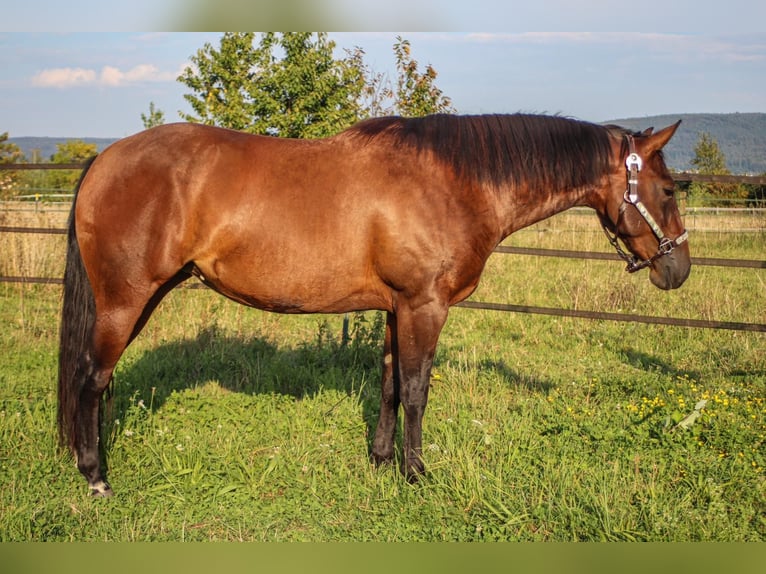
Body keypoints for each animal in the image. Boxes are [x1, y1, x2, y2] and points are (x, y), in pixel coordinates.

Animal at [58, 113, 688, 500]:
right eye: (669, 190)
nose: (677, 268)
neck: (455, 182)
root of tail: (105, 159)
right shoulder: (425, 307)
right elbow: (416, 390)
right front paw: (416, 474)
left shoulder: (396, 308)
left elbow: (388, 383)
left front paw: (382, 462)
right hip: (125, 301)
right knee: (91, 380)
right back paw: (95, 478)